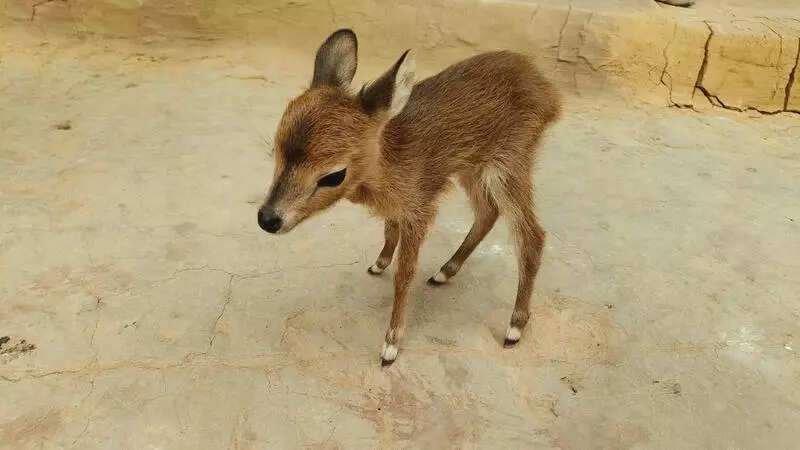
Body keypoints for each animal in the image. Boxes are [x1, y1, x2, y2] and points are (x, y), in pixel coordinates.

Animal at [258, 29, 561, 365]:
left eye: (334, 175)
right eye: (276, 149)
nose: (267, 218)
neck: (391, 167)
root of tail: (548, 91)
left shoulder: (420, 207)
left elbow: (404, 274)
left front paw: (390, 347)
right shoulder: (403, 207)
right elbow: (390, 231)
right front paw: (379, 263)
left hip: (508, 162)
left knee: (531, 235)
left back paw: (513, 329)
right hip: (474, 167)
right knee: (488, 212)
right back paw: (443, 272)